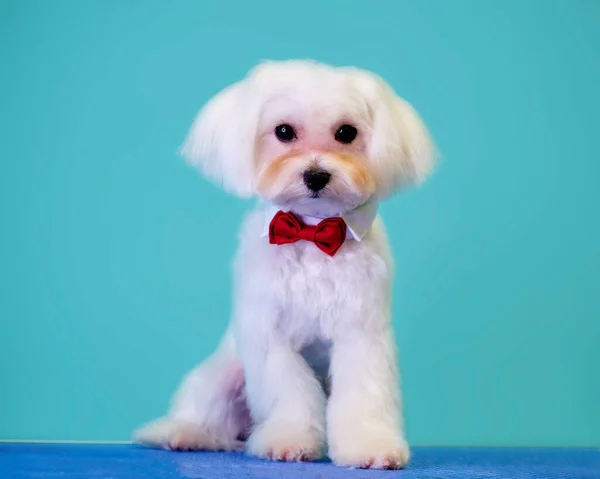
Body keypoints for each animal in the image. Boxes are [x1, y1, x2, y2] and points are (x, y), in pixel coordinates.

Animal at [135, 58, 436, 470]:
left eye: (347, 132)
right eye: (283, 131)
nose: (315, 175)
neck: (310, 232)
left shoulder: (361, 333)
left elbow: (363, 393)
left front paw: (368, 445)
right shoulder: (270, 334)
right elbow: (289, 393)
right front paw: (289, 440)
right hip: (225, 374)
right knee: (205, 413)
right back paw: (187, 435)